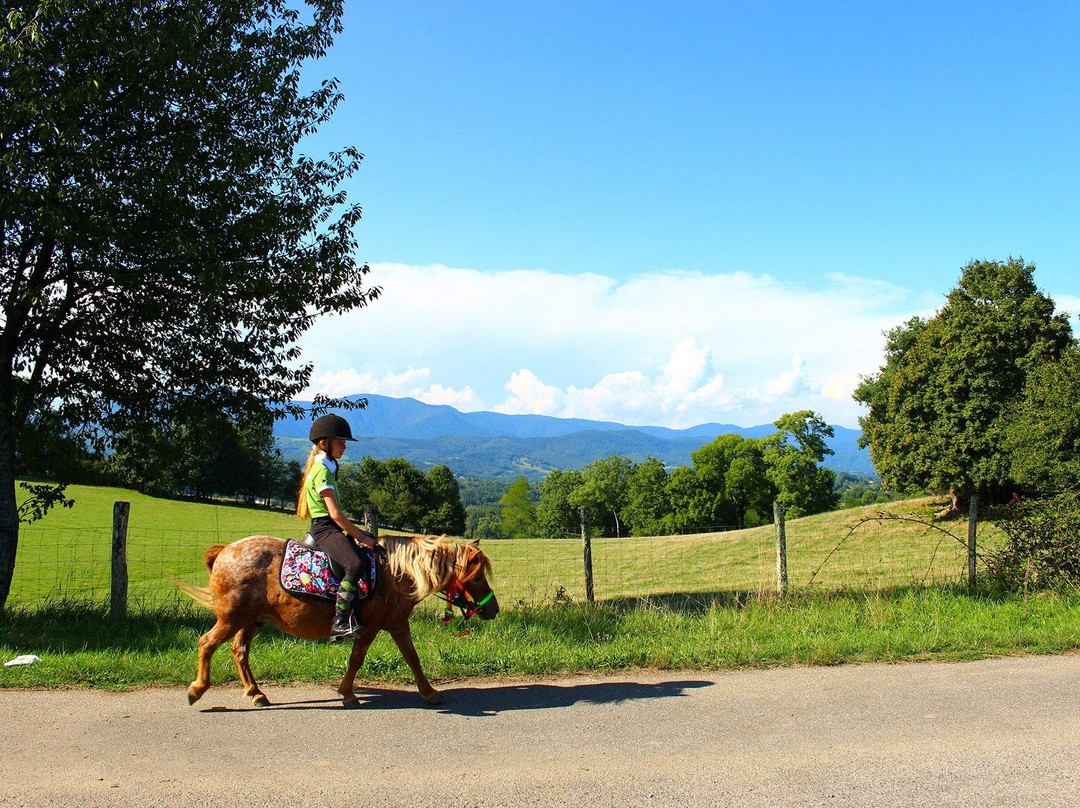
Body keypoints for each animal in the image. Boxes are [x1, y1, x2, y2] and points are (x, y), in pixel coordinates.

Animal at [177, 535, 496, 708]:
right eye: (478, 576)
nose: (493, 609)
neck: (395, 575)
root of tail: (223, 551)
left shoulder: (396, 624)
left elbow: (412, 658)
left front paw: (429, 693)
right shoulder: (370, 627)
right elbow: (357, 660)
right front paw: (347, 694)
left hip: (251, 620)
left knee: (239, 651)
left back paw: (256, 693)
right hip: (232, 618)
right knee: (206, 644)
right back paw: (197, 689)